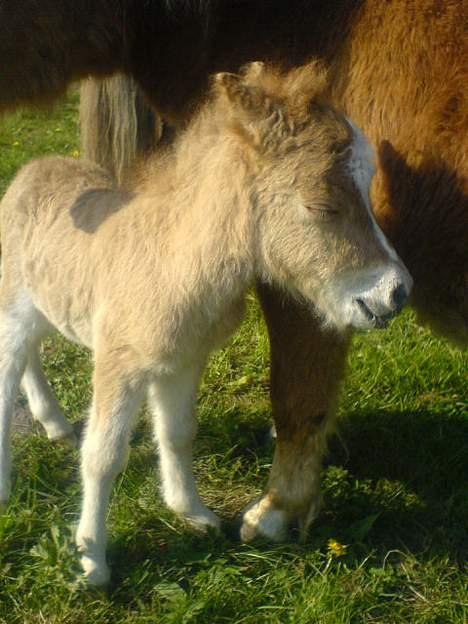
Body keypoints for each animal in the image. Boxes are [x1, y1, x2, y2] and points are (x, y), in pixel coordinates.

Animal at [0, 1, 466, 540]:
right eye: (322, 205)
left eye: (372, 189)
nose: (396, 291)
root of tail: (31, 170)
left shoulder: (185, 356)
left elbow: (185, 429)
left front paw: (221, 512)